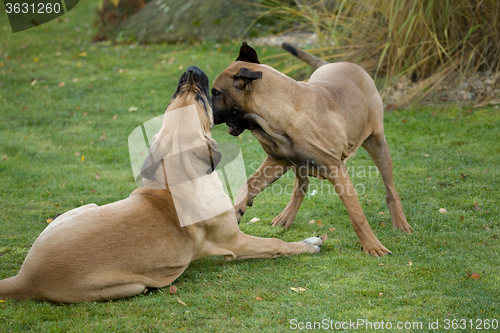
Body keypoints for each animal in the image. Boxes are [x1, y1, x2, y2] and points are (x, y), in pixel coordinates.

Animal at [0, 66, 326, 302]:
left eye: (177, 98)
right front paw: (308, 244)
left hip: (83, 207)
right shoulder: (236, 242)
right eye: (200, 100)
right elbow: (276, 245)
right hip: (126, 286)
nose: (191, 71)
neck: (179, 176)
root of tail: (24, 279)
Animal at [211, 42, 410, 255]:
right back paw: (286, 216)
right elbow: (246, 185)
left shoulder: (336, 169)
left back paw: (400, 223)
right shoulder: (277, 161)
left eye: (216, 93)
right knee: (302, 185)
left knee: (390, 189)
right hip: (297, 162)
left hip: (377, 143)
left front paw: (372, 246)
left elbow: (357, 215)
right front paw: (236, 213)